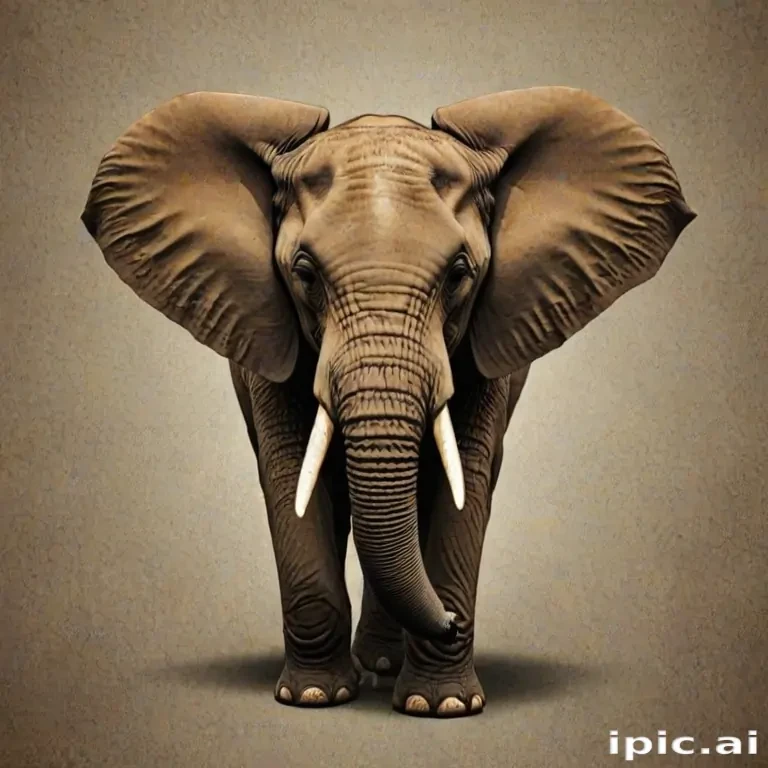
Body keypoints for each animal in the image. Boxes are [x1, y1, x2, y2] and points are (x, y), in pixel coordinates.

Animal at [81, 86, 695, 718]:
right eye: (304, 274)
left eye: (459, 274)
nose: (450, 622)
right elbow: (292, 477)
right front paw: (312, 697)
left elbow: (462, 482)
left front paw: (441, 707)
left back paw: (384, 666)